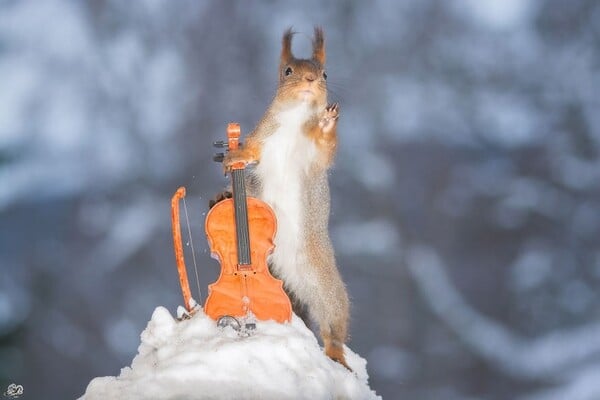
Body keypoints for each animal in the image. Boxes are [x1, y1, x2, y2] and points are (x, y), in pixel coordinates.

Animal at [212, 27, 350, 372]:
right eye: (288, 71)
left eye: (325, 73)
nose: (311, 80)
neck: (295, 118)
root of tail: (285, 268)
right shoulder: (263, 134)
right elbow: (250, 151)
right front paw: (233, 157)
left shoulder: (314, 158)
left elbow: (326, 149)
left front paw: (328, 122)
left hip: (324, 284)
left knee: (334, 322)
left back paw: (336, 353)